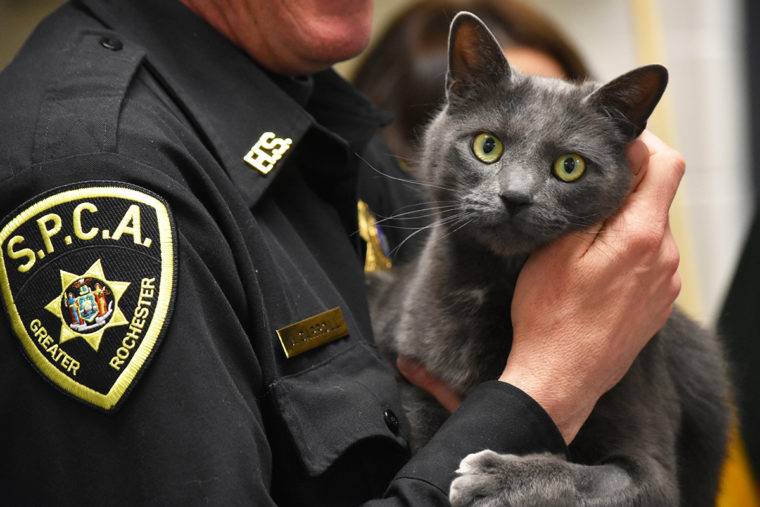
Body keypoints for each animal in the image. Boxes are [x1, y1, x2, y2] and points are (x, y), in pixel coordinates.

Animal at [368, 10, 732, 507]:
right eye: (487, 146)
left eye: (569, 166)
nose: (515, 196)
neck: (500, 293)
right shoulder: (413, 369)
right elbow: (424, 426)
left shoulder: (654, 473)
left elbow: (587, 479)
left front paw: (492, 481)